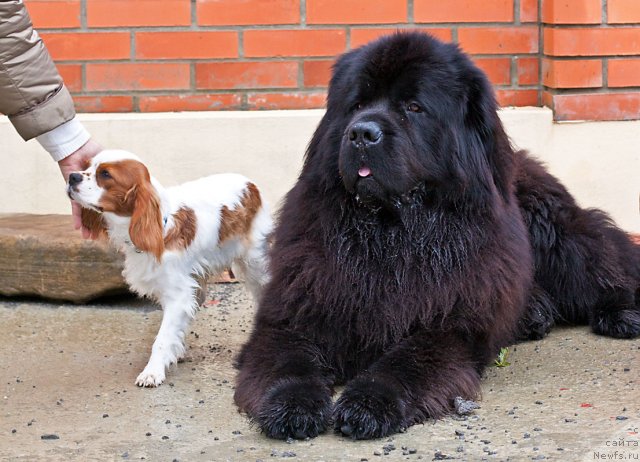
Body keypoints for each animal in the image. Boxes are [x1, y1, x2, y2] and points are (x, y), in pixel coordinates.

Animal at [66, 151, 272, 386]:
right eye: (86, 166)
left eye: (106, 174)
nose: (72, 176)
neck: (159, 225)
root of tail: (250, 184)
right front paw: (173, 353)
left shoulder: (178, 294)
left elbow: (162, 339)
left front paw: (153, 371)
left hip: (255, 265)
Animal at [234, 32, 640, 440]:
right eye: (358, 104)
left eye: (414, 107)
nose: (362, 132)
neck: (389, 236)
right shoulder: (295, 312)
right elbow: (289, 361)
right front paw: (292, 406)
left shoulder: (449, 323)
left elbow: (406, 362)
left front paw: (368, 404)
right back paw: (534, 314)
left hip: (552, 235)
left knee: (604, 262)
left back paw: (621, 312)